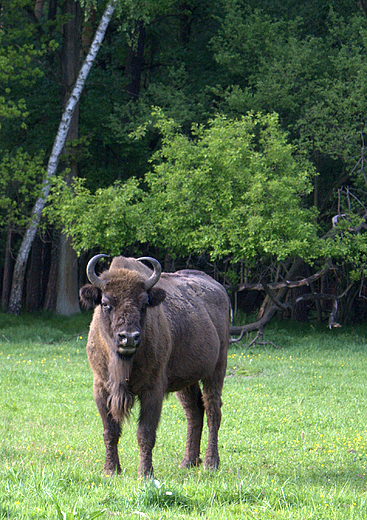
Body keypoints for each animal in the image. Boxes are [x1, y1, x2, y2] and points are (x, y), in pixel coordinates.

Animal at [81, 254, 230, 478]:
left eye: (144, 304)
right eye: (105, 303)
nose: (129, 338)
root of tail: (219, 288)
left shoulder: (152, 390)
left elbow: (145, 433)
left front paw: (145, 473)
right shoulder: (101, 387)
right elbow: (110, 431)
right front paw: (111, 470)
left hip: (216, 370)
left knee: (213, 411)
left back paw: (211, 463)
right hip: (185, 381)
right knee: (194, 412)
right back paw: (188, 462)